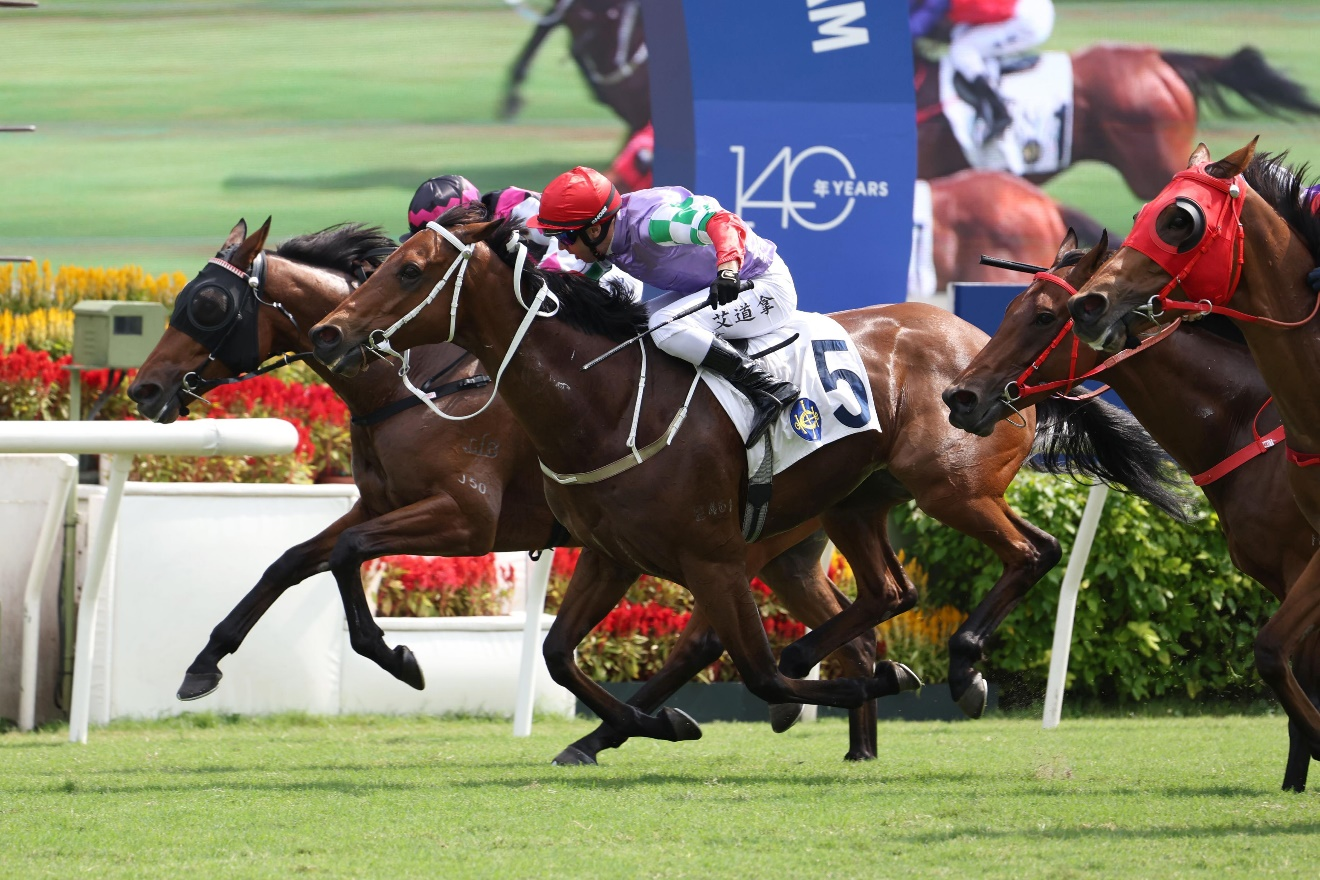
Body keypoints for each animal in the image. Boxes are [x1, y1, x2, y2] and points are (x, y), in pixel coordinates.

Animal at [126, 219, 887, 765]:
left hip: (739, 545)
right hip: (787, 545)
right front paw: (203, 665)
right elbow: (292, 560)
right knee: (850, 625)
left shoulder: (468, 520)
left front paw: (399, 659)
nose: (145, 388)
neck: (421, 381)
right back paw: (854, 738)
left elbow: (345, 554)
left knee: (716, 640)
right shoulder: (380, 502)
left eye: (208, 304)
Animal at [308, 207, 1188, 744]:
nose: (330, 332)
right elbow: (559, 655)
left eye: (411, 270)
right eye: (385, 261)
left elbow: (757, 675)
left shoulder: (714, 559)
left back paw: (962, 667)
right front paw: (658, 723)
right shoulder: (611, 554)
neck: (604, 398)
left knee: (1032, 551)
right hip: (856, 503)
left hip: (950, 486)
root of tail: (987, 355)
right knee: (891, 590)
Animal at [945, 232, 1320, 791]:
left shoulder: (1303, 564)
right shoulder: (1280, 574)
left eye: (1044, 317)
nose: (960, 396)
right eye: (1010, 307)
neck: (1251, 425)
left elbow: (1280, 661)